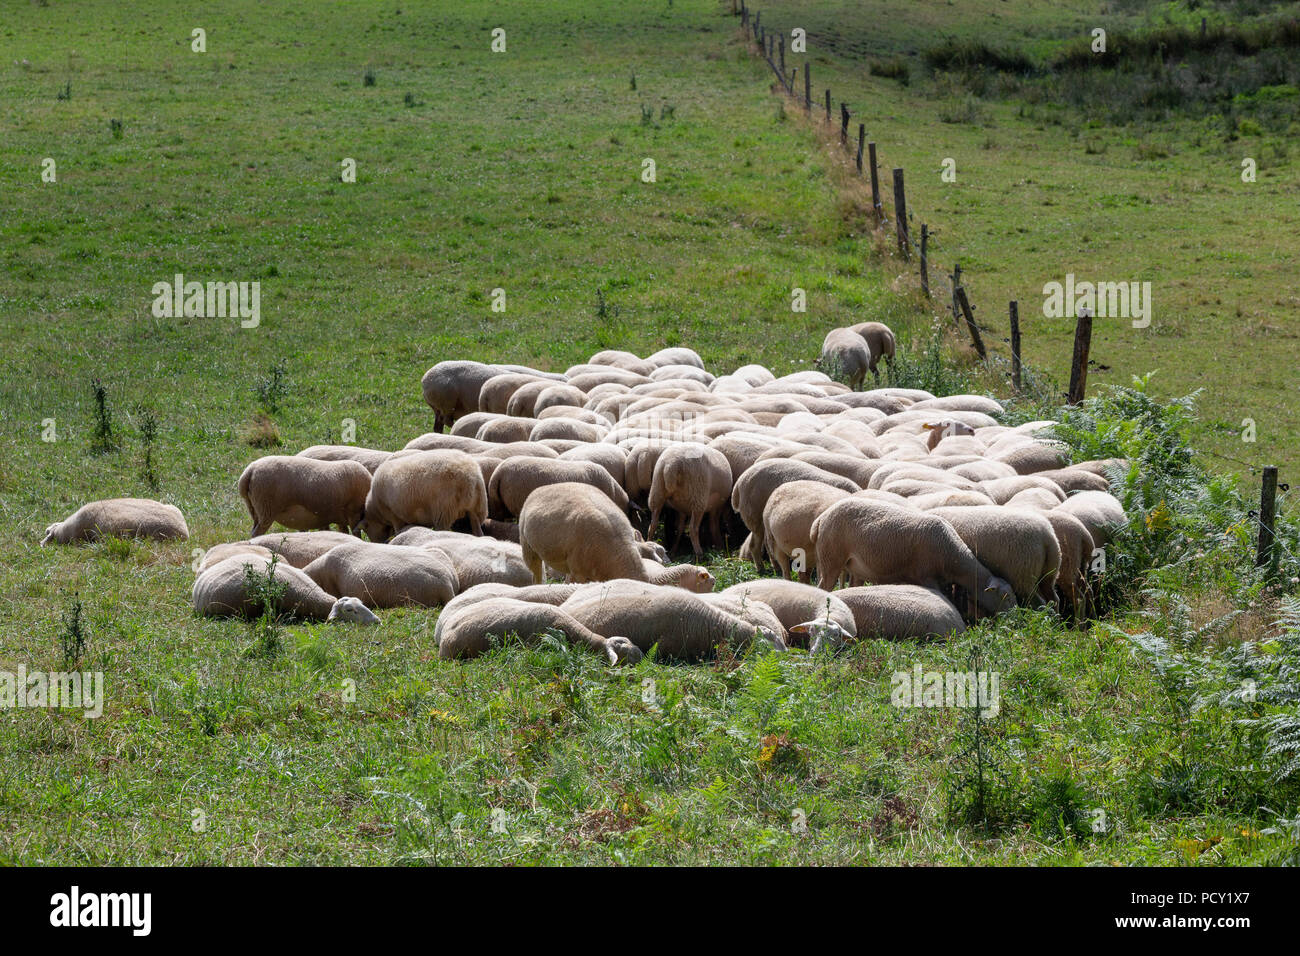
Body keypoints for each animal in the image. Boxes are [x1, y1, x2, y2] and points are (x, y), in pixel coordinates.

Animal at [236, 455, 371, 538]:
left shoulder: (341, 518)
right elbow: (356, 535)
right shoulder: (353, 514)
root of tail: (249, 471)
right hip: (266, 510)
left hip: (255, 510)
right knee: (257, 534)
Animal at [811, 496, 1013, 616]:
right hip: (831, 558)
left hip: (853, 564)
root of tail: (821, 519)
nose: (1015, 616)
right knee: (823, 586)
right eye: (1006, 597)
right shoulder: (926, 577)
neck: (952, 555)